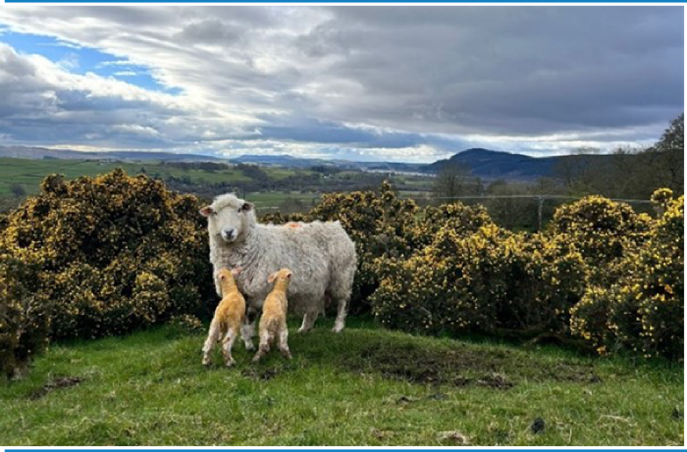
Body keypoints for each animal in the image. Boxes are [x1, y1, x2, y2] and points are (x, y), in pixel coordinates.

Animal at [199, 192, 358, 350]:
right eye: (215, 212)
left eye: (239, 210)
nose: (229, 232)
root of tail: (336, 226)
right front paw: (245, 339)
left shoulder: (257, 292)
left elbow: (249, 318)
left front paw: (249, 343)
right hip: (314, 285)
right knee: (313, 307)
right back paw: (304, 329)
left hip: (342, 276)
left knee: (343, 302)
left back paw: (338, 327)